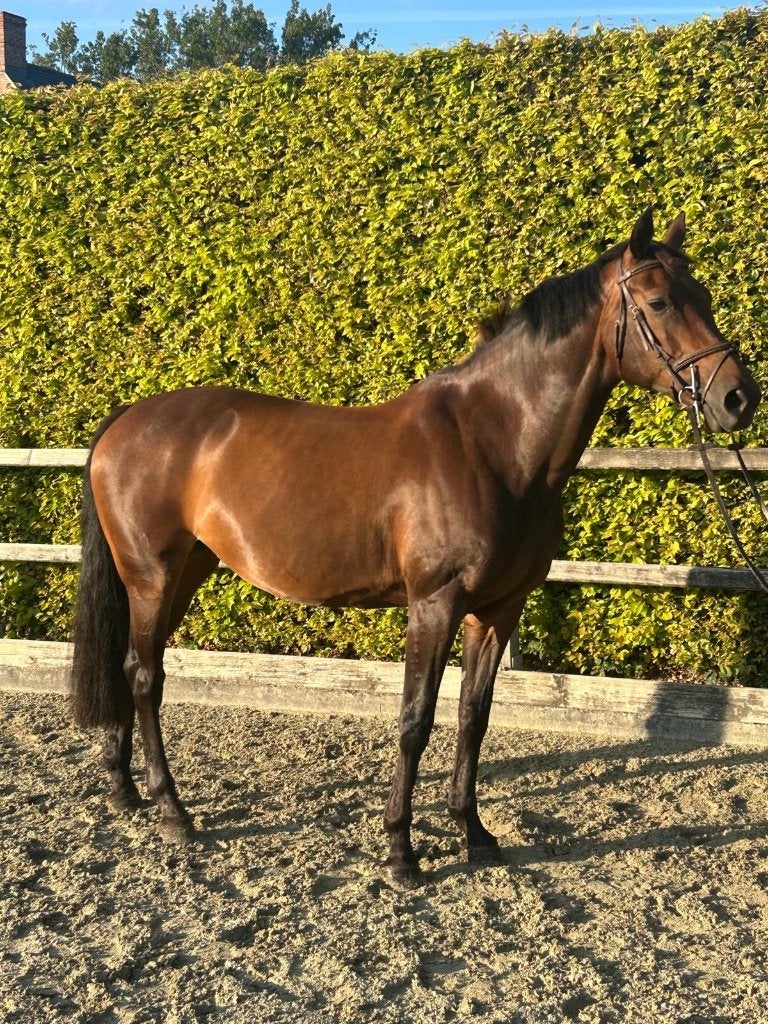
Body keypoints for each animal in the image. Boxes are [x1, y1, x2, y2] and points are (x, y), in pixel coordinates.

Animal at [71, 209, 760, 883]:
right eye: (661, 302)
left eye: (702, 295)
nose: (738, 398)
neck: (494, 444)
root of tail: (126, 419)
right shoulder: (434, 603)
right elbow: (415, 719)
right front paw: (401, 851)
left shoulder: (498, 609)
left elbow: (473, 717)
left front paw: (474, 833)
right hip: (152, 577)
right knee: (145, 676)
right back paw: (172, 811)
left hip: (186, 573)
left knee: (133, 667)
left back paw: (125, 790)